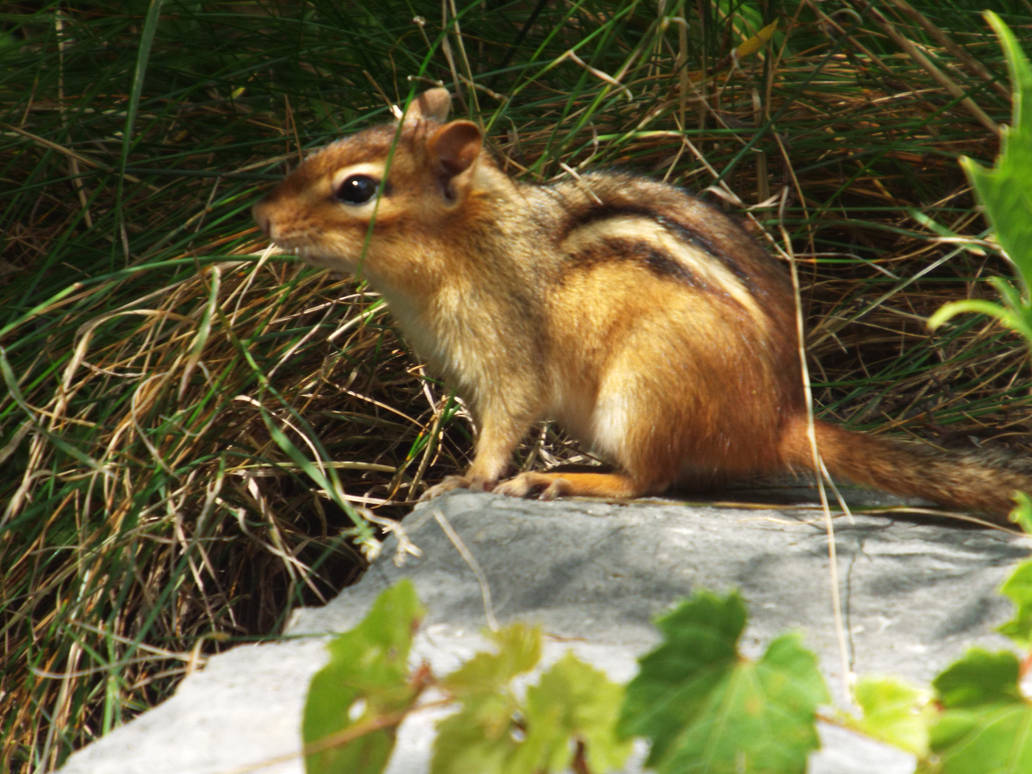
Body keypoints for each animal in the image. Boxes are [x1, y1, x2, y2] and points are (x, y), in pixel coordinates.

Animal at [253, 87, 1032, 521]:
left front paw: (464, 478)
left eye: (357, 189)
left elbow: (506, 421)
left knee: (648, 482)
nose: (261, 216)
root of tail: (780, 419)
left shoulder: (506, 349)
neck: (466, 238)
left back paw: (562, 480)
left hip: (643, 391)